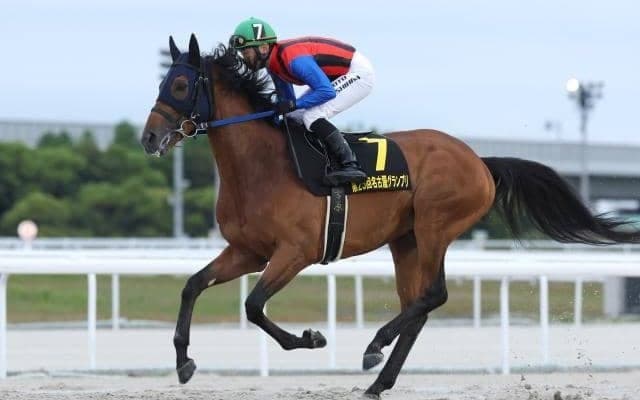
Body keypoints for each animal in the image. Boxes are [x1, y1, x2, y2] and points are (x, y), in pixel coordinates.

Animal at [140, 34, 640, 399]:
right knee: (416, 305)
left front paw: (313, 339)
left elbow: (253, 305)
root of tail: (480, 162)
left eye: (180, 86)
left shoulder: (295, 252)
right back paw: (378, 380)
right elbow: (193, 286)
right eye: (162, 83)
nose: (149, 138)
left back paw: (374, 347)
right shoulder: (248, 251)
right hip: (407, 240)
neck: (262, 167)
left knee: (433, 294)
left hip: (435, 225)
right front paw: (184, 362)